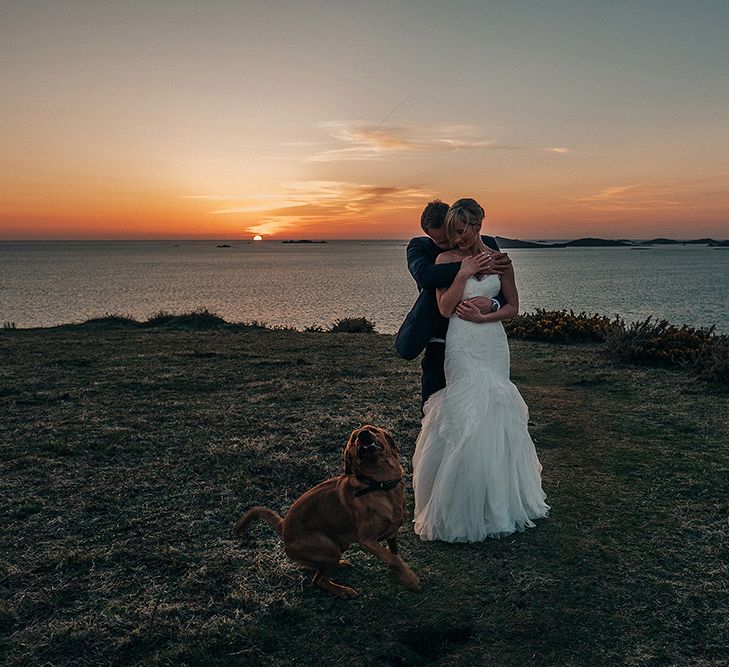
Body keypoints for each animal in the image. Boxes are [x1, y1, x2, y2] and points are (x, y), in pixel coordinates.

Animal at [233, 428, 420, 600]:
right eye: (353, 438)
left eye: (372, 429)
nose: (363, 434)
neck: (379, 484)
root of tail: (283, 525)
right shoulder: (366, 540)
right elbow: (393, 559)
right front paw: (410, 579)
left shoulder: (391, 534)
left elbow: (394, 555)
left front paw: (402, 575)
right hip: (329, 549)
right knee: (318, 579)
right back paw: (343, 590)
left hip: (339, 546)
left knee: (315, 570)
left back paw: (339, 565)